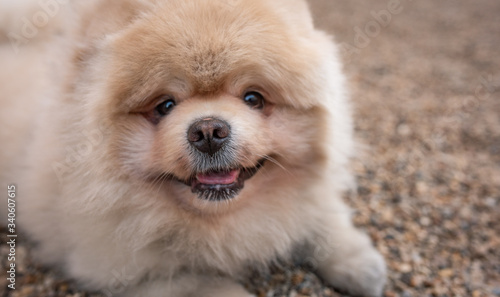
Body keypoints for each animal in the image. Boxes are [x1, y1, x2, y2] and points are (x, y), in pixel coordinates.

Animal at [0, 0, 386, 296]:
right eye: (165, 106)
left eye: (253, 98)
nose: (209, 131)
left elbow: (320, 215)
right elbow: (206, 285)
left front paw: (360, 263)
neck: (218, 222)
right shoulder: (120, 269)